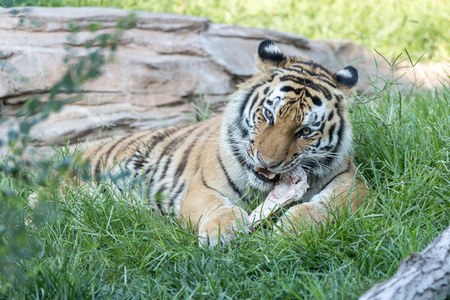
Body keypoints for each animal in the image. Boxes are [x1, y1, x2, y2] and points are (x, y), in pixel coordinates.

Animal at [82, 39, 368, 246]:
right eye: (269, 115)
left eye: (305, 131)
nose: (267, 162)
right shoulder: (202, 186)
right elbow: (216, 206)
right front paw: (221, 231)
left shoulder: (352, 181)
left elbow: (330, 206)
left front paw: (293, 229)